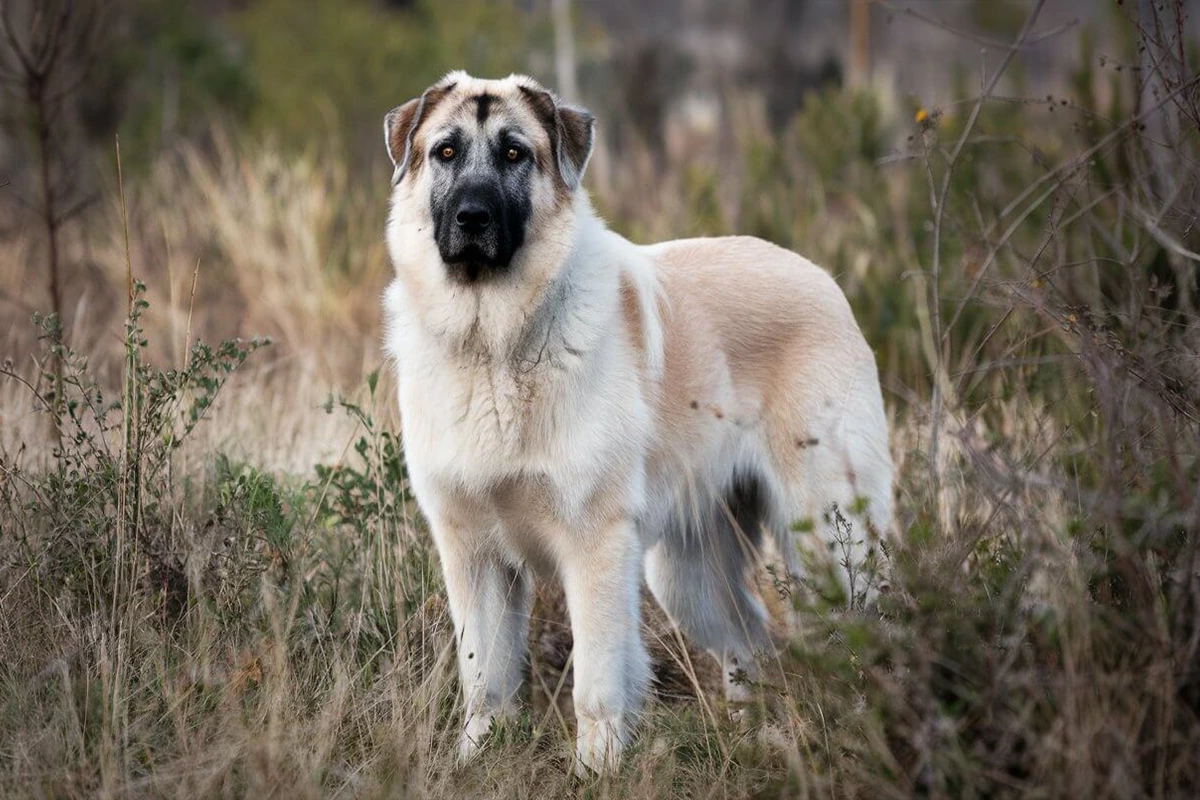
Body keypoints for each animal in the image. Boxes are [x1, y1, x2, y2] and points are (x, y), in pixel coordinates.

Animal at [379, 71, 897, 772]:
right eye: (445, 152)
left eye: (515, 153)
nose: (472, 217)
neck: (495, 344)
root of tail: (825, 280)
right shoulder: (474, 555)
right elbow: (484, 678)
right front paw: (473, 762)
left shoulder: (594, 548)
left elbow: (596, 680)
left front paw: (595, 770)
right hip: (686, 575)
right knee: (749, 638)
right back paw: (748, 740)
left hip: (827, 546)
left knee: (866, 630)